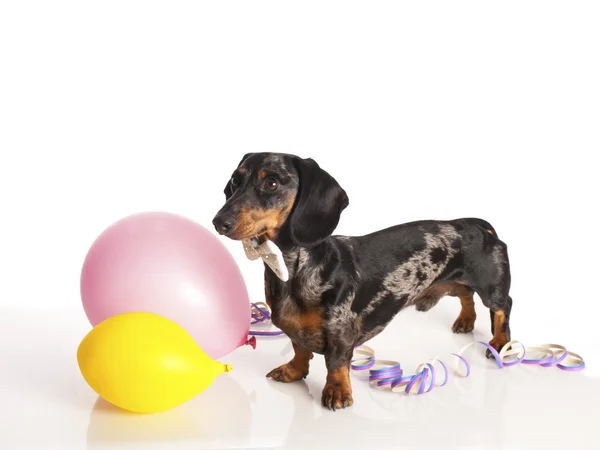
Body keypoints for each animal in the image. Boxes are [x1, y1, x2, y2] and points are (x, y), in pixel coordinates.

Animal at [211, 154, 510, 412]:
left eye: (271, 183)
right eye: (235, 181)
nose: (218, 222)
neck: (295, 269)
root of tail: (476, 225)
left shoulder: (340, 331)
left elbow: (336, 363)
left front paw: (337, 391)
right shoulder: (295, 327)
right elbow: (300, 349)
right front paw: (294, 371)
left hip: (491, 288)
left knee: (501, 307)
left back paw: (499, 342)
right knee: (465, 294)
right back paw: (466, 320)